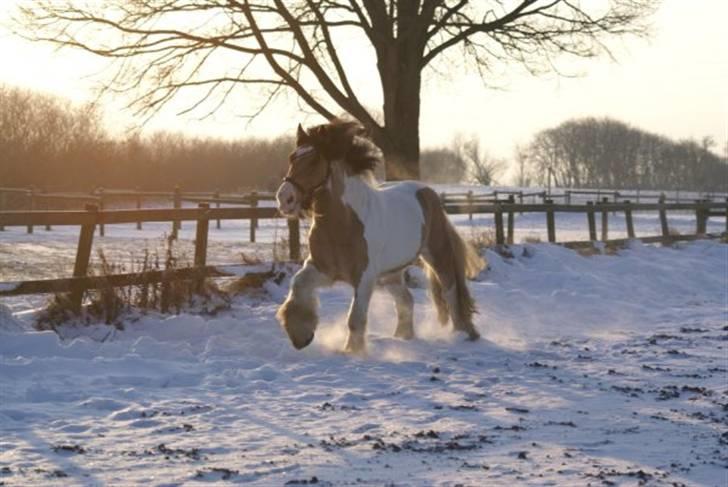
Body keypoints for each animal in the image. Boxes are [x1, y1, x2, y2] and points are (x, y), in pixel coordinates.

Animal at [272, 119, 484, 352]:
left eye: (313, 161)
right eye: (292, 158)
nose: (284, 199)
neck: (343, 224)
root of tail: (428, 193)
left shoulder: (365, 276)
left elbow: (355, 318)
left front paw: (353, 351)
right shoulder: (321, 268)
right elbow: (298, 285)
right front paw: (300, 335)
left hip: (437, 255)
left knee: (451, 291)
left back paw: (462, 334)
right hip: (391, 274)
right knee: (406, 300)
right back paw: (402, 337)